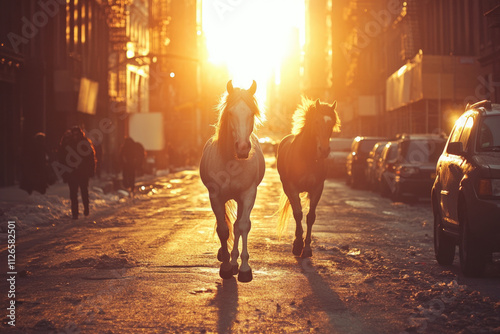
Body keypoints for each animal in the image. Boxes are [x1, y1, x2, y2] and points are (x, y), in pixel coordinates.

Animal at [199, 80, 266, 282]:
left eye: (251, 113)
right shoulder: (215, 197)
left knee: (237, 226)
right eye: (230, 113)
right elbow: (222, 230)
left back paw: (236, 261)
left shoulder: (248, 194)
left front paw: (244, 268)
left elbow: (242, 226)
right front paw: (226, 267)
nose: (243, 148)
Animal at [276, 96, 342, 258]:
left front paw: (306, 248)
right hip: (287, 188)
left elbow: (310, 217)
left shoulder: (317, 188)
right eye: (316, 122)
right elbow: (298, 214)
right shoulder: (292, 188)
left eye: (331, 123)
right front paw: (298, 245)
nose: (324, 150)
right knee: (295, 210)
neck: (307, 156)